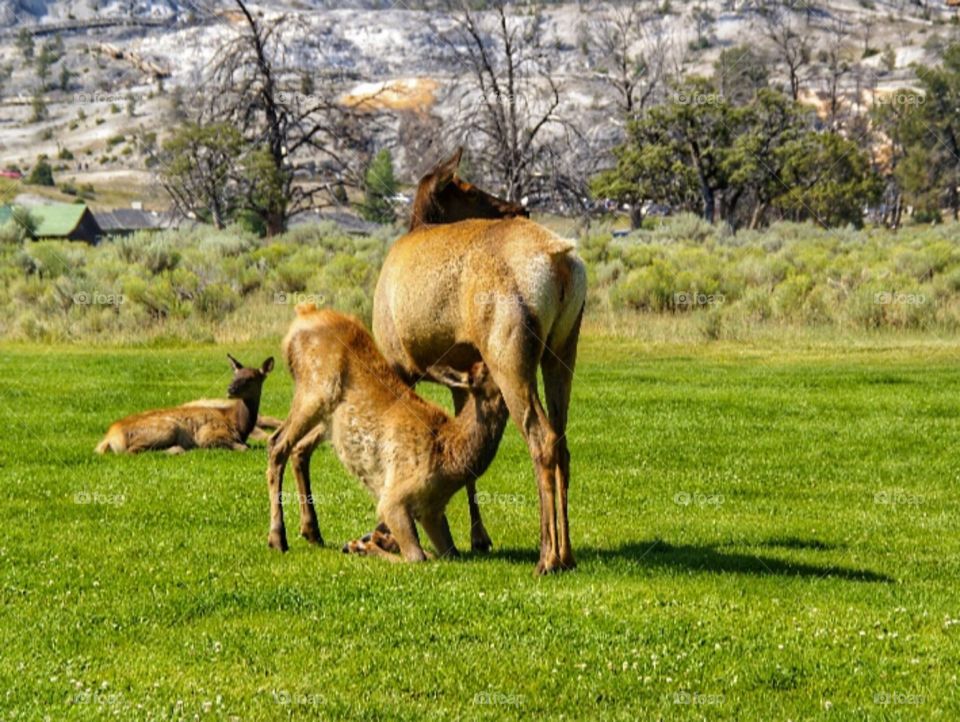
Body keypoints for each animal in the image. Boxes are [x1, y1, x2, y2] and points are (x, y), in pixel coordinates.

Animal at [95, 354, 275, 455]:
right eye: (234, 375)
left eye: (250, 378)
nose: (230, 389)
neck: (238, 424)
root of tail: (109, 438)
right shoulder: (208, 434)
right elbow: (244, 447)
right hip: (168, 428)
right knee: (132, 451)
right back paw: (178, 450)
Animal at [265, 304, 508, 561]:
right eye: (490, 369)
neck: (450, 460)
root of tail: (303, 314)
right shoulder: (394, 498)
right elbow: (416, 556)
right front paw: (362, 545)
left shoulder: (432, 512)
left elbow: (448, 553)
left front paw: (375, 541)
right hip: (314, 394)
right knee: (277, 444)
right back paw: (277, 537)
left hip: (326, 418)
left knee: (298, 448)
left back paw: (311, 531)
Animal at [372, 147, 586, 575]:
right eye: (470, 188)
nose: (519, 206)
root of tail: (560, 262)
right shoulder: (466, 370)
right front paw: (478, 536)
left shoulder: (399, 363)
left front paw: (384, 534)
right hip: (562, 349)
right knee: (563, 439)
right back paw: (567, 554)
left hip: (508, 353)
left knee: (542, 438)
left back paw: (547, 555)